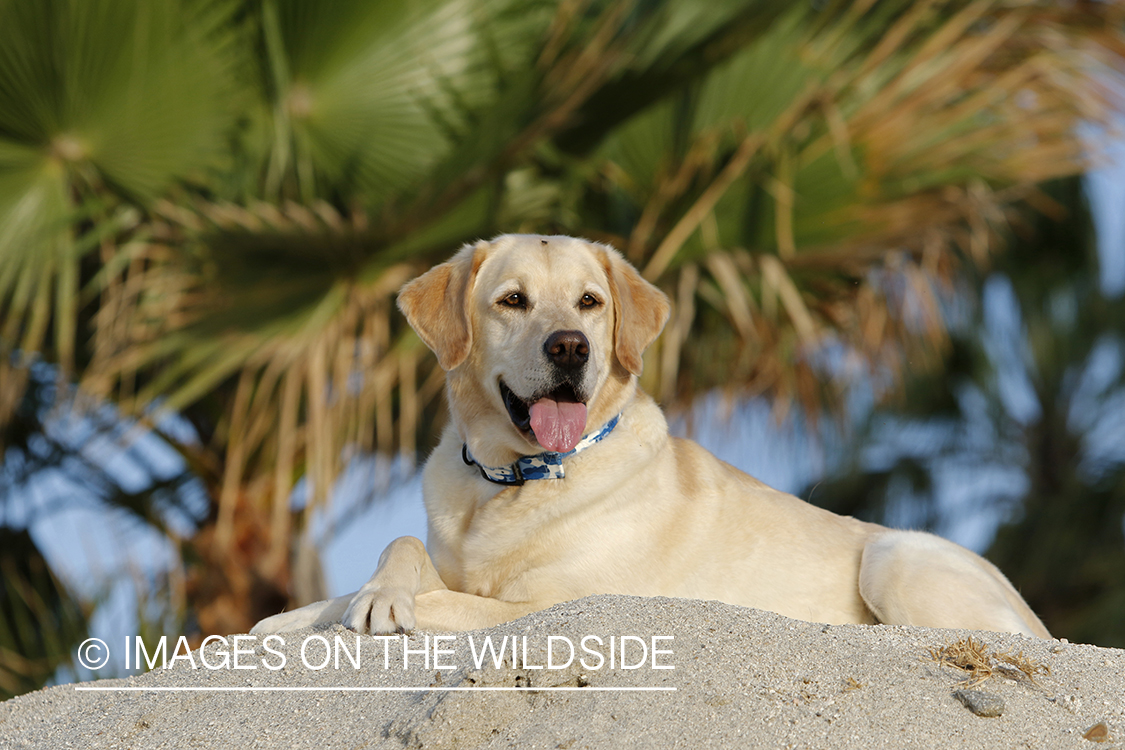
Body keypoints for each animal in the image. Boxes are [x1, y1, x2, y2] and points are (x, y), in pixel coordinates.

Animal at [250, 235, 1048, 638]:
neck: (511, 480)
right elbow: (398, 550)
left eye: (589, 302)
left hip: (893, 556)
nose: (571, 348)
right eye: (512, 300)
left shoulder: (560, 603)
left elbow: (446, 604)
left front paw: (372, 609)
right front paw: (314, 611)